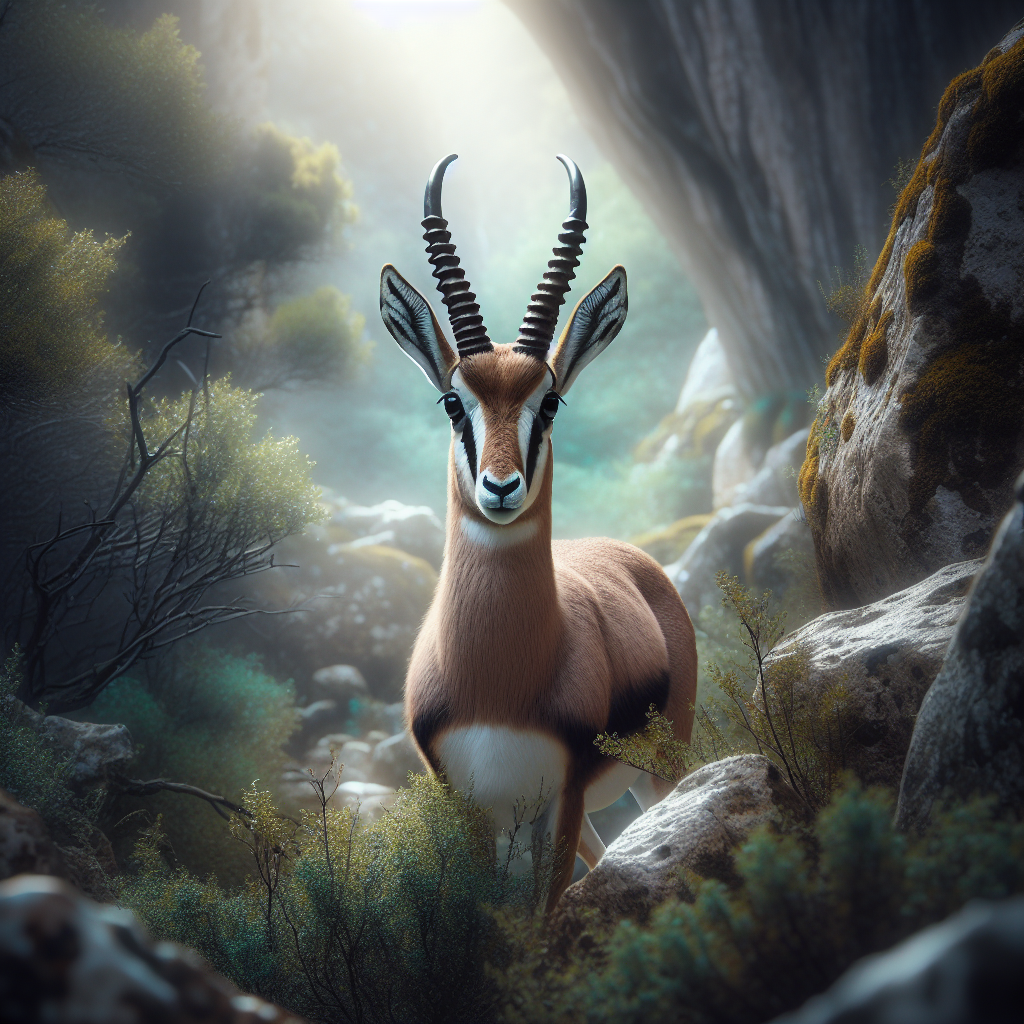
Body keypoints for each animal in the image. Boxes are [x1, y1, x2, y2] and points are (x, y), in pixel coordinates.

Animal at [379, 154, 698, 910]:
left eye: (549, 402)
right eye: (452, 401)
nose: (501, 488)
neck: (499, 682)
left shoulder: (563, 795)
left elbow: (540, 918)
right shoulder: (471, 805)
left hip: (660, 766)